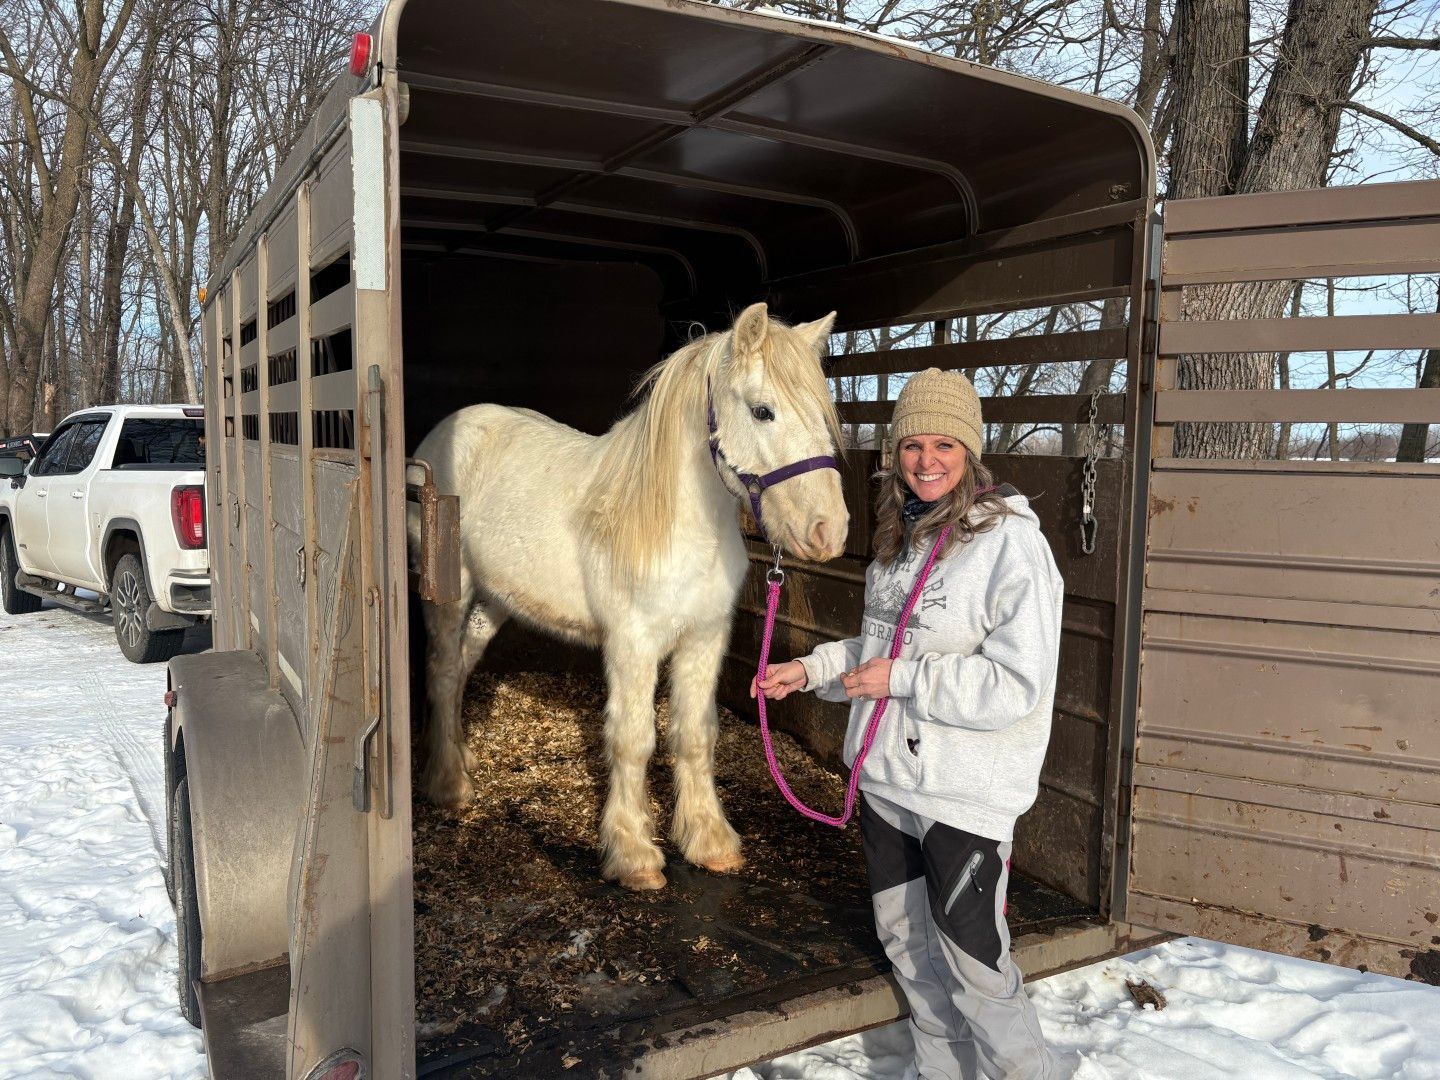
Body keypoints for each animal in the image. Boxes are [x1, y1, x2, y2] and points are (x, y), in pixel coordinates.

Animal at [409, 303, 849, 890]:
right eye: (762, 411)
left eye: (824, 415)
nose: (830, 531)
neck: (677, 523)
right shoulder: (632, 645)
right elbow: (633, 739)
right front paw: (633, 854)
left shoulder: (704, 639)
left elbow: (695, 736)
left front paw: (710, 841)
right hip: (448, 596)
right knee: (441, 669)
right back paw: (448, 785)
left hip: (494, 601)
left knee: (460, 667)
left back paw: (462, 758)